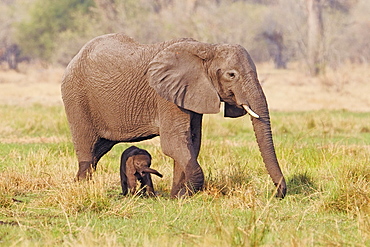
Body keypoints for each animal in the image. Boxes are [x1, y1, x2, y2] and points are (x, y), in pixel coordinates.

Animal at [61, 33, 286, 199]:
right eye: (231, 75)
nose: (277, 193)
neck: (207, 48)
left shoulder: (190, 94)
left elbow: (191, 142)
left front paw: (177, 197)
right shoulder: (166, 97)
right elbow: (174, 143)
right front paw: (186, 193)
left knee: (99, 150)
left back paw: (79, 185)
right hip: (76, 97)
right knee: (87, 149)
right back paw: (83, 190)